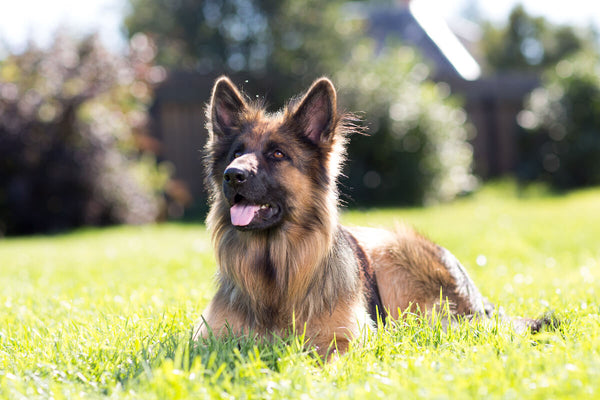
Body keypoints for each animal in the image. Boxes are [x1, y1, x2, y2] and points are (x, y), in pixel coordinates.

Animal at [192, 76, 548, 358]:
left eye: (277, 154)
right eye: (237, 153)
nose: (232, 175)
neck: (275, 272)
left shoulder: (347, 337)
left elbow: (326, 358)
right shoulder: (207, 339)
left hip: (393, 255)